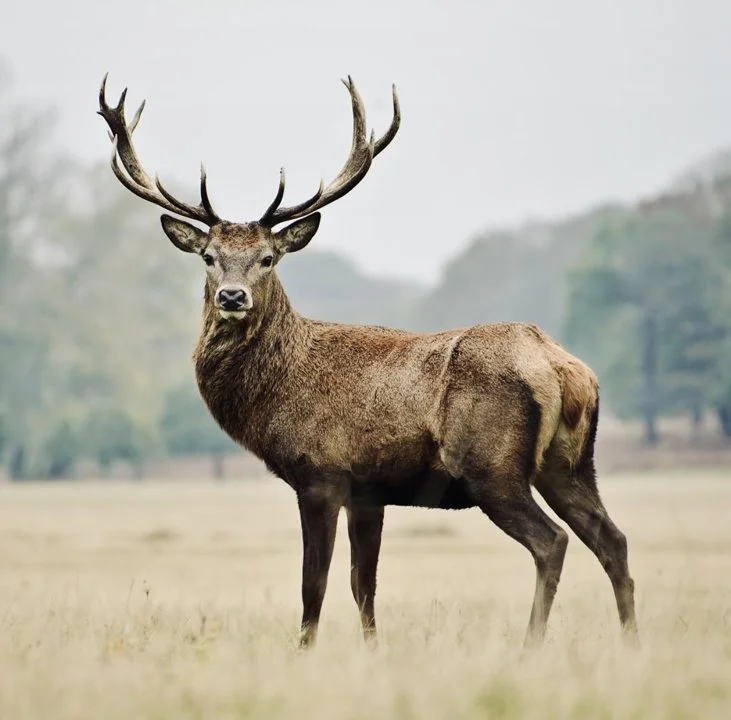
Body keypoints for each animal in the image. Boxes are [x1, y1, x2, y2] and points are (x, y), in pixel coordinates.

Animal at [97, 73, 639, 650]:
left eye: (268, 258)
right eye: (208, 257)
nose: (232, 296)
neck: (277, 393)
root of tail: (564, 369)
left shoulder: (321, 473)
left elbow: (314, 584)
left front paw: (304, 651)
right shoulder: (368, 492)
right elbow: (364, 586)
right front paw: (372, 650)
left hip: (492, 465)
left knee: (552, 542)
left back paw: (530, 646)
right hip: (570, 463)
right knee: (613, 539)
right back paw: (632, 642)